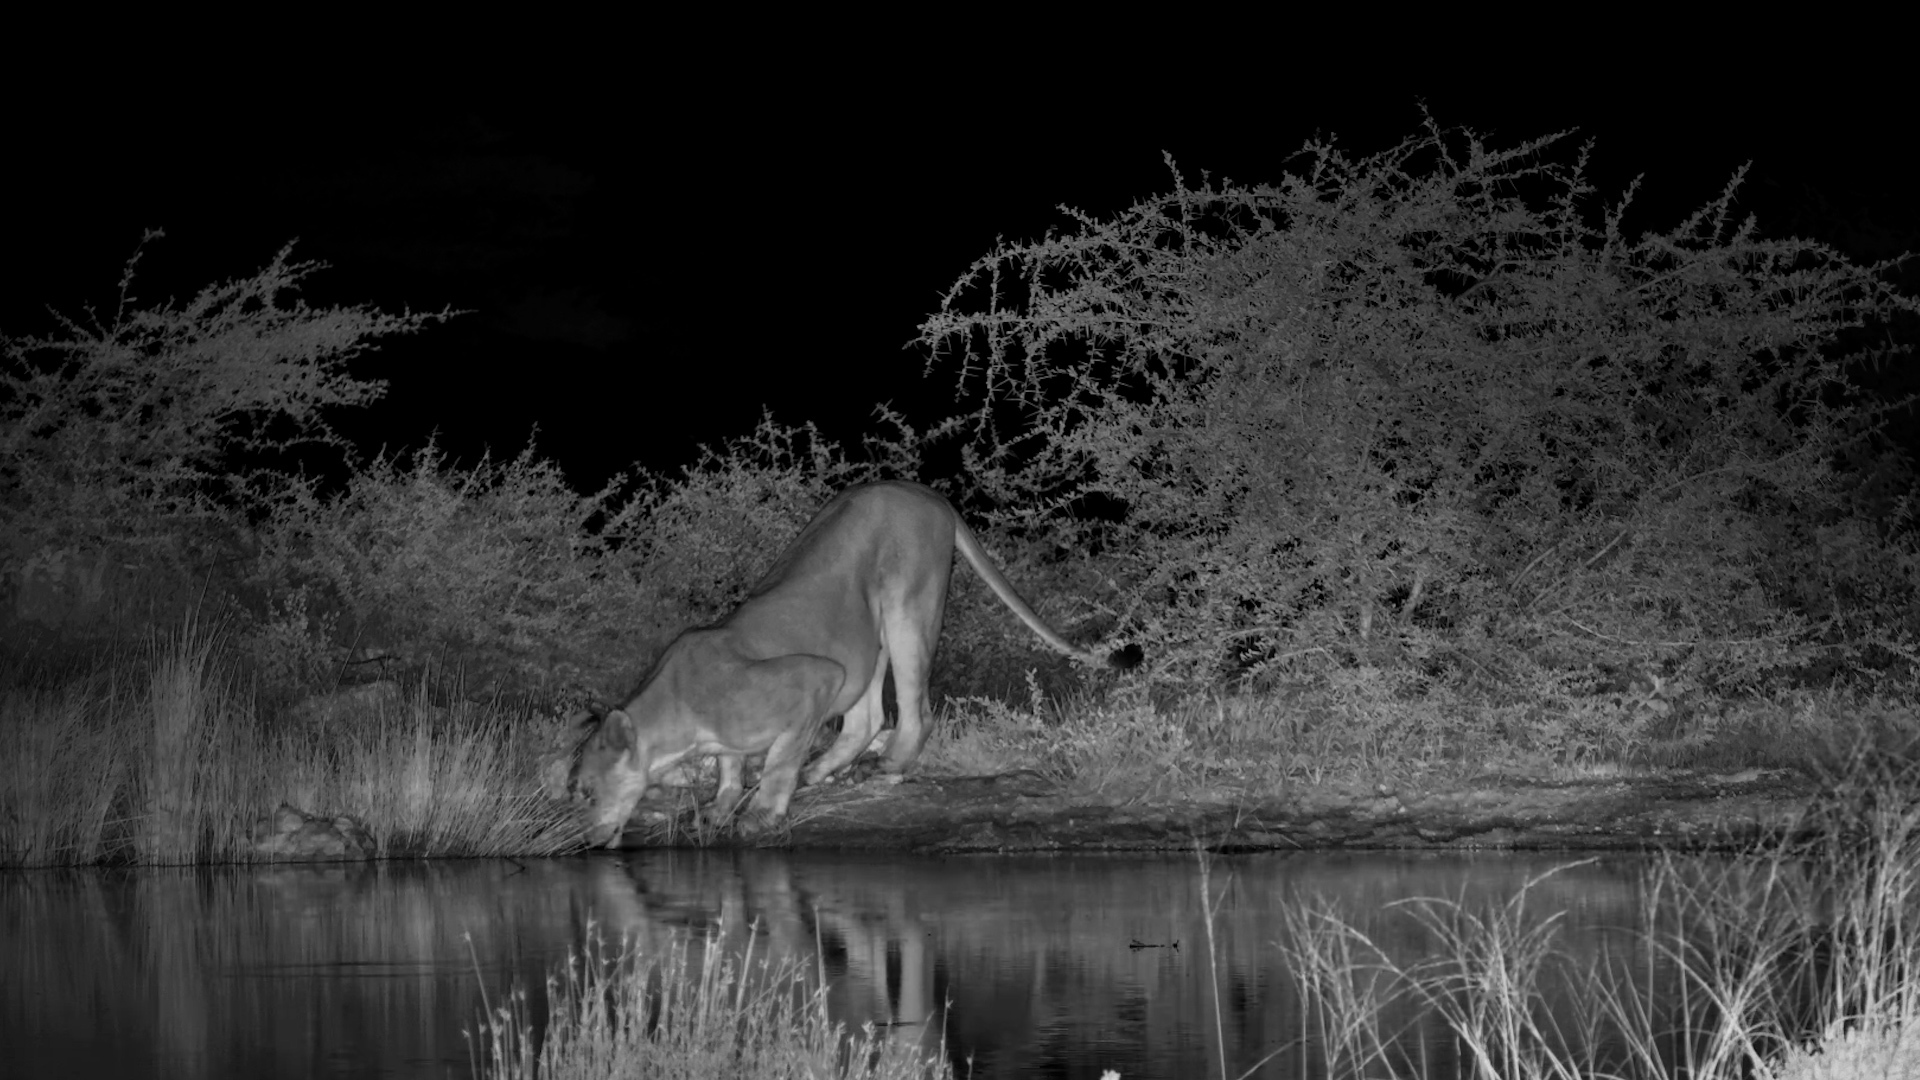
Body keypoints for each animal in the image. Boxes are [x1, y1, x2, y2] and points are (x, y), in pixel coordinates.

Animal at [576, 480, 1136, 846]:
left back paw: (885, 764)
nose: (587, 836)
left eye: (582, 791)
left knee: (914, 711)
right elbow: (731, 764)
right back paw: (824, 769)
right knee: (867, 716)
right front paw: (718, 807)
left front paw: (762, 812)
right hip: (868, 634)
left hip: (909, 609)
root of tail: (926, 493)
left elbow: (778, 758)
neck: (674, 715)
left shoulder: (813, 677)